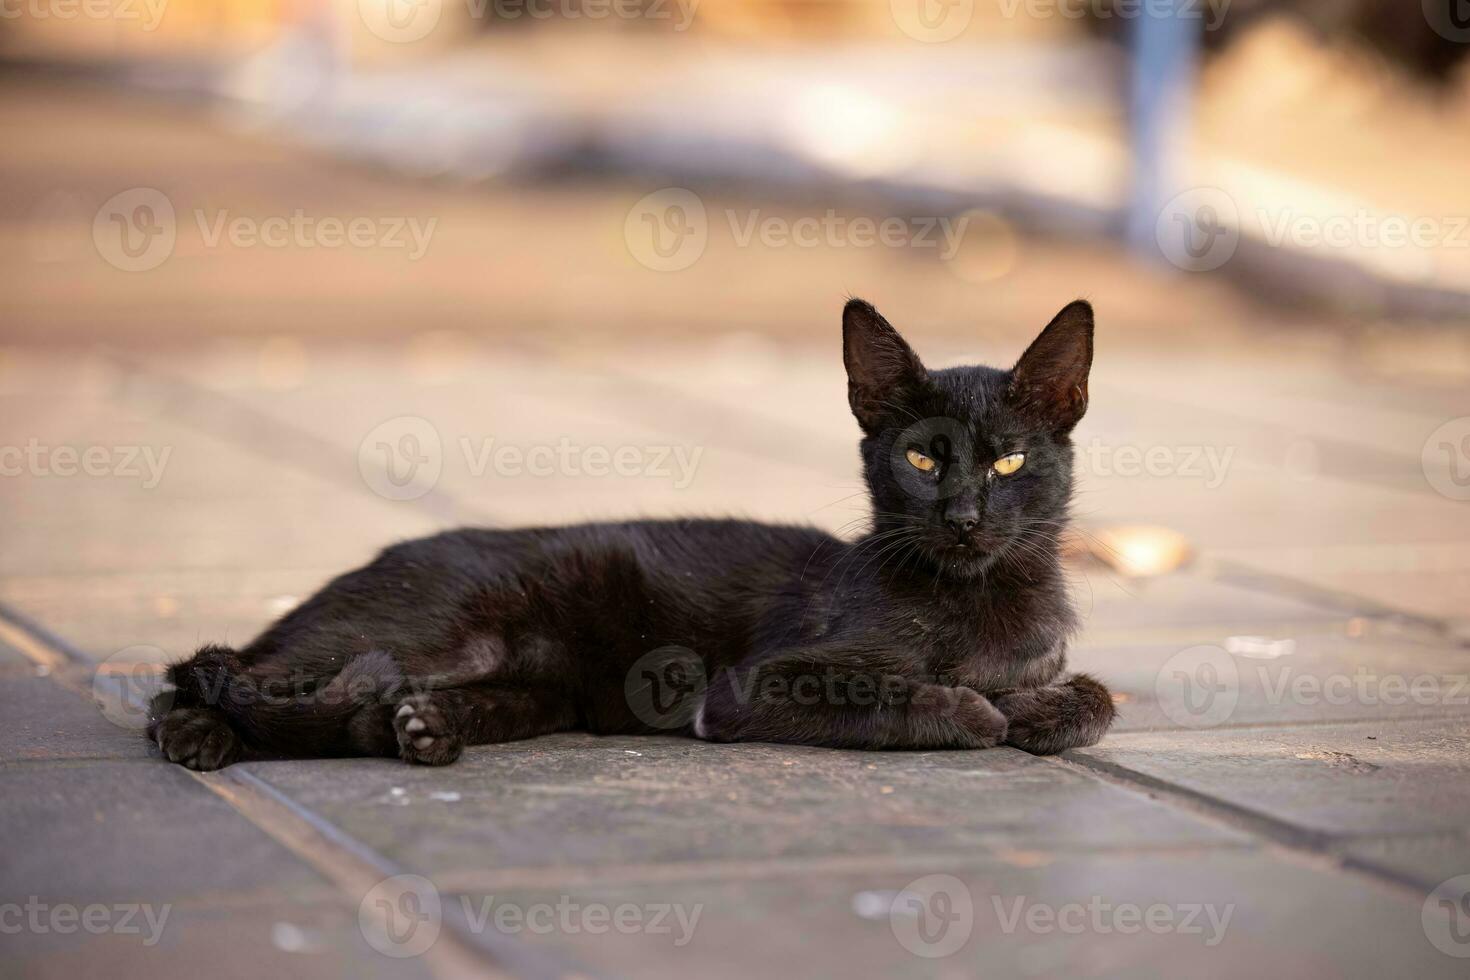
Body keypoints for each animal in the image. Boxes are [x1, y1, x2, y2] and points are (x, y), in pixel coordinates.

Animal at [149, 299, 1111, 764]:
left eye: (1009, 462)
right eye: (920, 460)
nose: (964, 517)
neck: (975, 603)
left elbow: (1097, 697)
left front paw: (1039, 711)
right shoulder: (754, 687)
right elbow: (914, 699)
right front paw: (977, 710)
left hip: (539, 688)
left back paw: (419, 730)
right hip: (427, 634)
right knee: (207, 675)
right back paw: (196, 736)